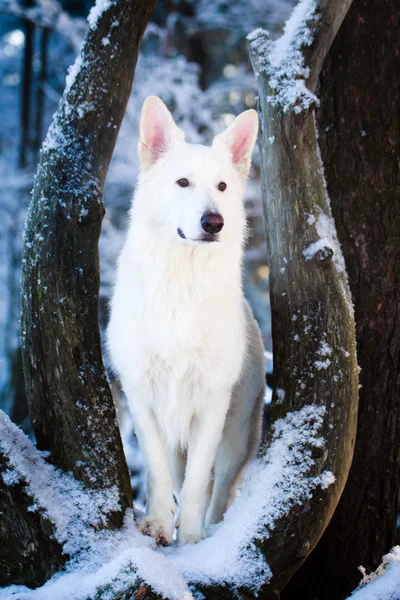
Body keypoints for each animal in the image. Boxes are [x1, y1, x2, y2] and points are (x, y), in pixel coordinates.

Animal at [108, 96, 268, 548]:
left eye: (222, 187)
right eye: (183, 183)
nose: (214, 223)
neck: (183, 283)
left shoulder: (212, 405)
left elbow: (199, 483)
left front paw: (194, 540)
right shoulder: (142, 398)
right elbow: (160, 474)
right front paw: (159, 526)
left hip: (236, 435)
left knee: (221, 489)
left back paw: (210, 530)